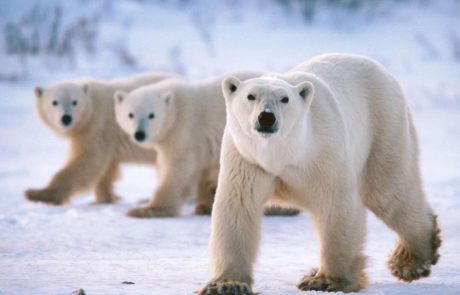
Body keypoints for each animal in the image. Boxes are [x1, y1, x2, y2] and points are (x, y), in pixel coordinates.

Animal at [25, 72, 176, 206]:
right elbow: (106, 168)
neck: (92, 104)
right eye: (54, 102)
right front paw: (104, 198)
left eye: (75, 102)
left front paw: (37, 194)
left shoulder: (97, 126)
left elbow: (87, 160)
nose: (66, 118)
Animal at [200, 54, 442, 294]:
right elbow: (237, 209)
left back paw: (410, 260)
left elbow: (336, 207)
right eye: (250, 96)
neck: (284, 154)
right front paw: (227, 285)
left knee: (388, 192)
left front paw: (325, 280)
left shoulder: (324, 154)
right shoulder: (247, 160)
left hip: (384, 127)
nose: (266, 117)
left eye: (285, 99)